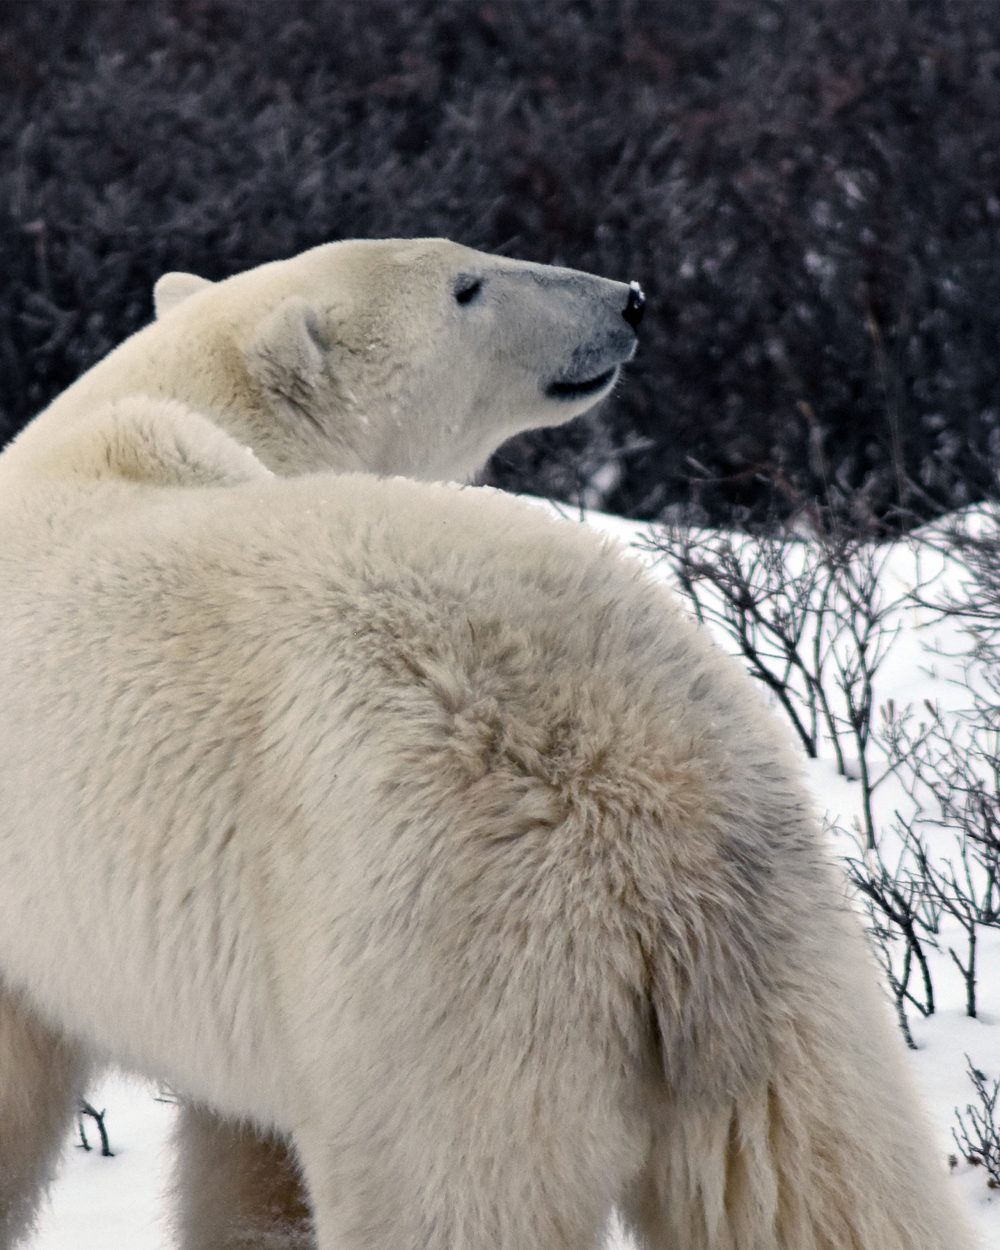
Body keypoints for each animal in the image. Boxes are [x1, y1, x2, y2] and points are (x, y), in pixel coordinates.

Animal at [0, 239, 975, 1250]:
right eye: (467, 285)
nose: (628, 299)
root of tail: (653, 824)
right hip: (778, 961)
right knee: (820, 1179)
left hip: (452, 977)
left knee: (443, 1198)